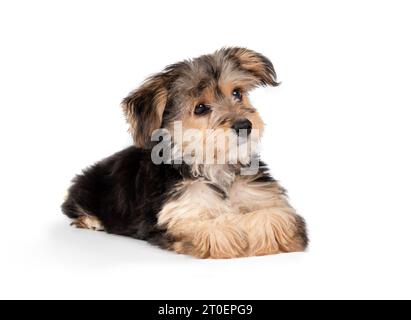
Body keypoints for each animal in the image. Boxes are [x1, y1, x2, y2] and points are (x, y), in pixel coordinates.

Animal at [62, 47, 308, 258]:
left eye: (237, 93)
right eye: (200, 108)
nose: (244, 125)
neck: (215, 166)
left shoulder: (267, 198)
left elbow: (274, 217)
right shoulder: (178, 216)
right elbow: (213, 229)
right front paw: (233, 228)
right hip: (87, 187)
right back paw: (92, 221)